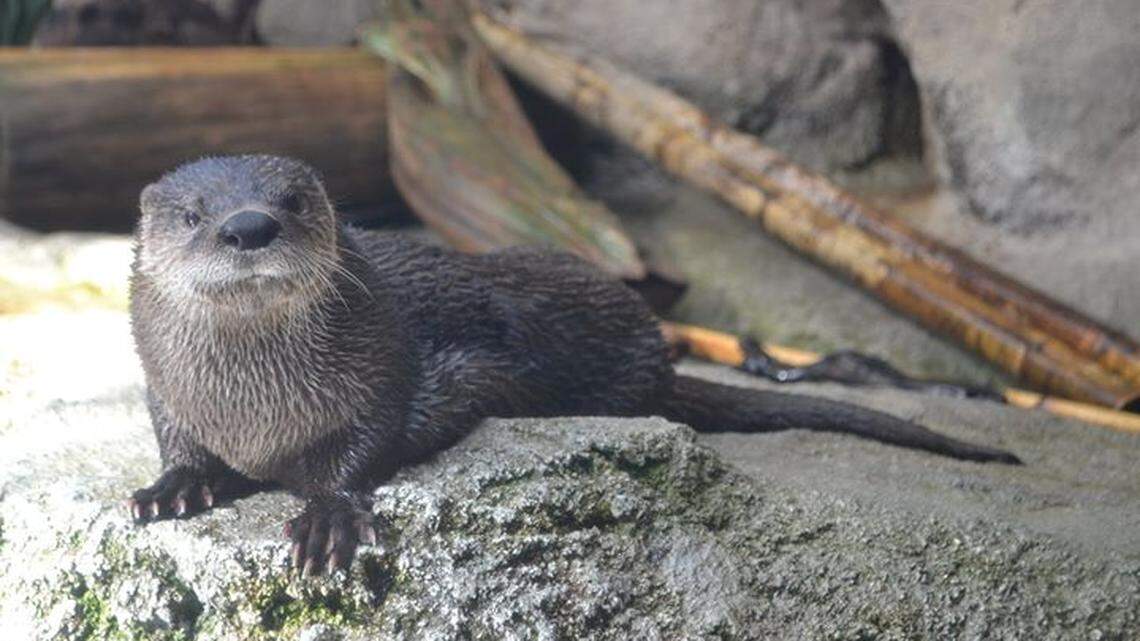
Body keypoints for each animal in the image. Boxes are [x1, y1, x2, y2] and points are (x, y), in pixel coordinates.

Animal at [127, 155, 1020, 576]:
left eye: (295, 202)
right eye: (192, 214)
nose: (248, 225)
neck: (254, 412)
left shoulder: (398, 378)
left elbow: (366, 448)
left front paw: (328, 515)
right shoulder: (170, 393)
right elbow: (179, 441)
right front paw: (173, 486)